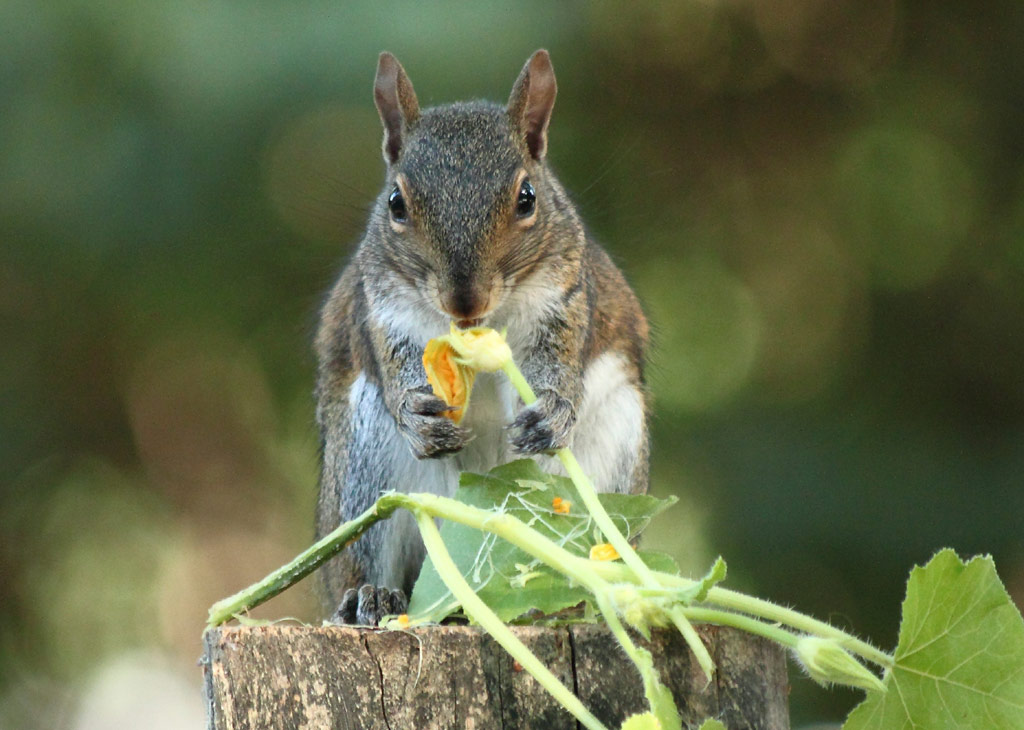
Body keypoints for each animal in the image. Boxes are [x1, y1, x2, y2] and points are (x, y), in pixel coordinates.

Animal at [313, 48, 647, 622]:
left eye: (527, 198)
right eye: (396, 203)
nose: (463, 301)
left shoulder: (566, 300)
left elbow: (558, 364)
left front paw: (552, 410)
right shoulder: (380, 312)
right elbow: (395, 368)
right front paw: (417, 415)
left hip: (619, 441)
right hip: (363, 466)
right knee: (365, 553)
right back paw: (371, 596)